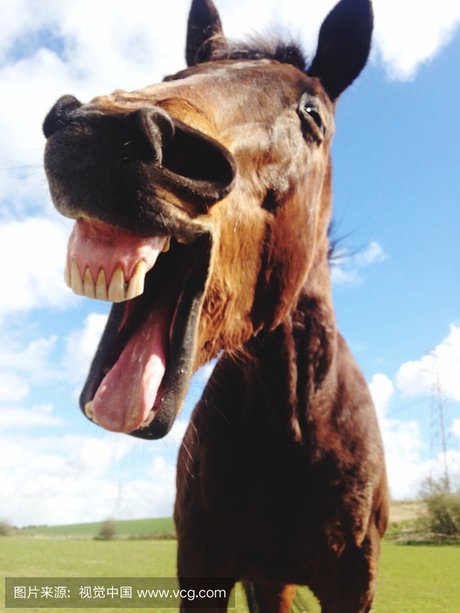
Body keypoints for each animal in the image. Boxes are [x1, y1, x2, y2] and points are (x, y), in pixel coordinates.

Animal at [42, 0, 388, 608]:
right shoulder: (203, 565)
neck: (290, 424)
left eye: (313, 116)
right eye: (174, 75)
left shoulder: (354, 582)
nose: (99, 134)